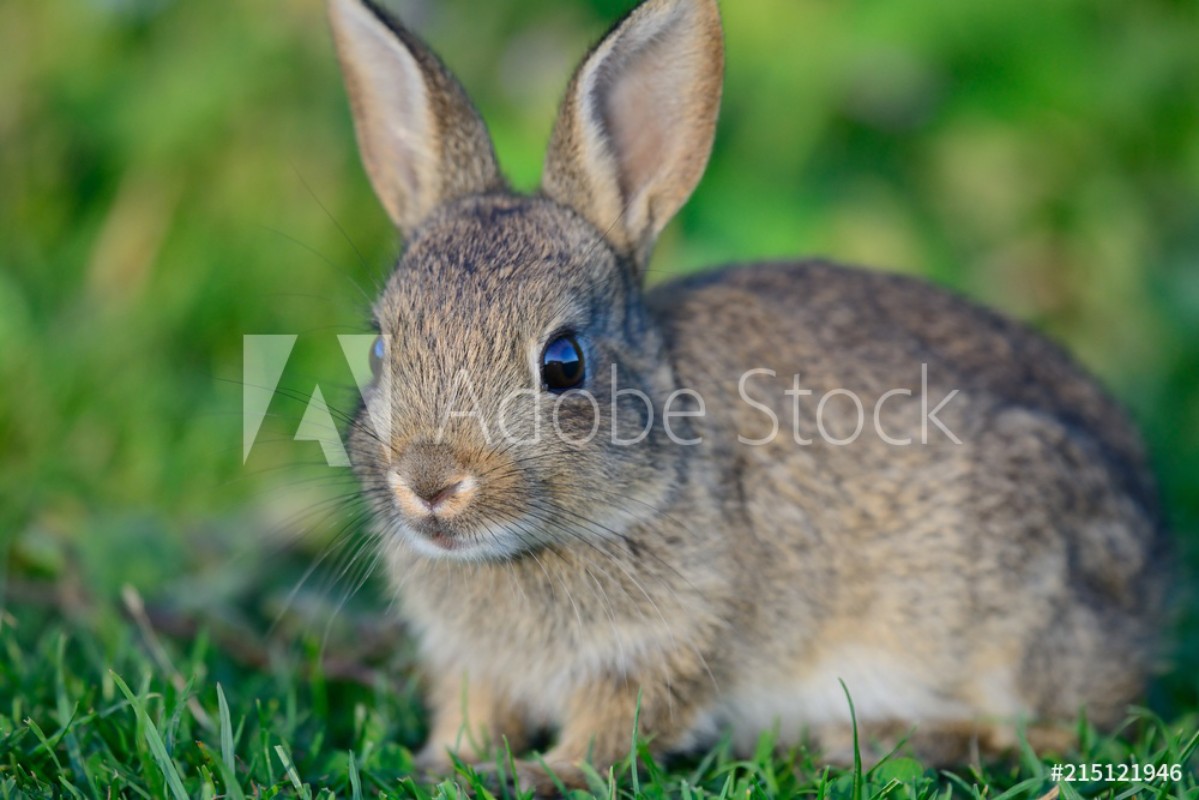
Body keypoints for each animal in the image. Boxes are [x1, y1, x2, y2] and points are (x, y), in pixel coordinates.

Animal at [329, 0, 1168, 793]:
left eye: (563, 363)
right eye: (379, 348)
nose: (428, 482)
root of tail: (1156, 575)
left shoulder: (674, 641)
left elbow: (618, 727)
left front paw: (549, 774)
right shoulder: (473, 664)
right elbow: (473, 712)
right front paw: (440, 762)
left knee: (1059, 731)